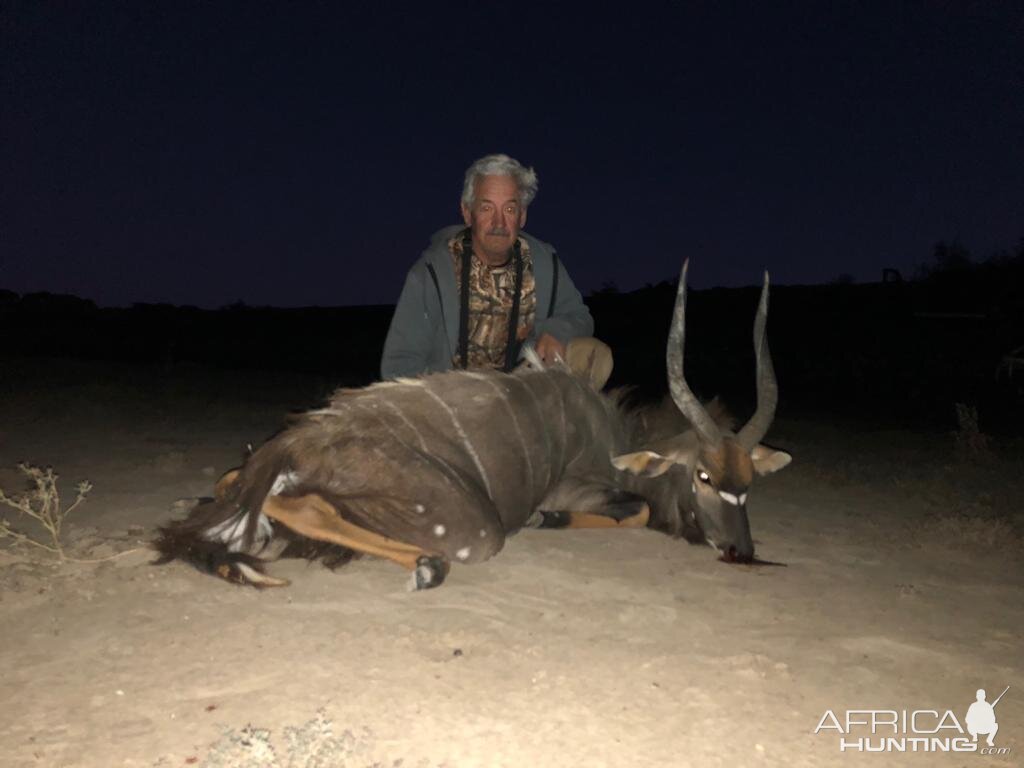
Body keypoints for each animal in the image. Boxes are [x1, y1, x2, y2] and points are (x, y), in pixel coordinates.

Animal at [153, 260, 790, 589]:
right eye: (703, 477)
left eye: (750, 485)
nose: (742, 550)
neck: (608, 434)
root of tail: (296, 443)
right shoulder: (575, 486)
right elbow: (632, 511)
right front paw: (547, 519)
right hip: (467, 525)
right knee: (312, 508)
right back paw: (427, 566)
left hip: (252, 478)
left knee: (237, 491)